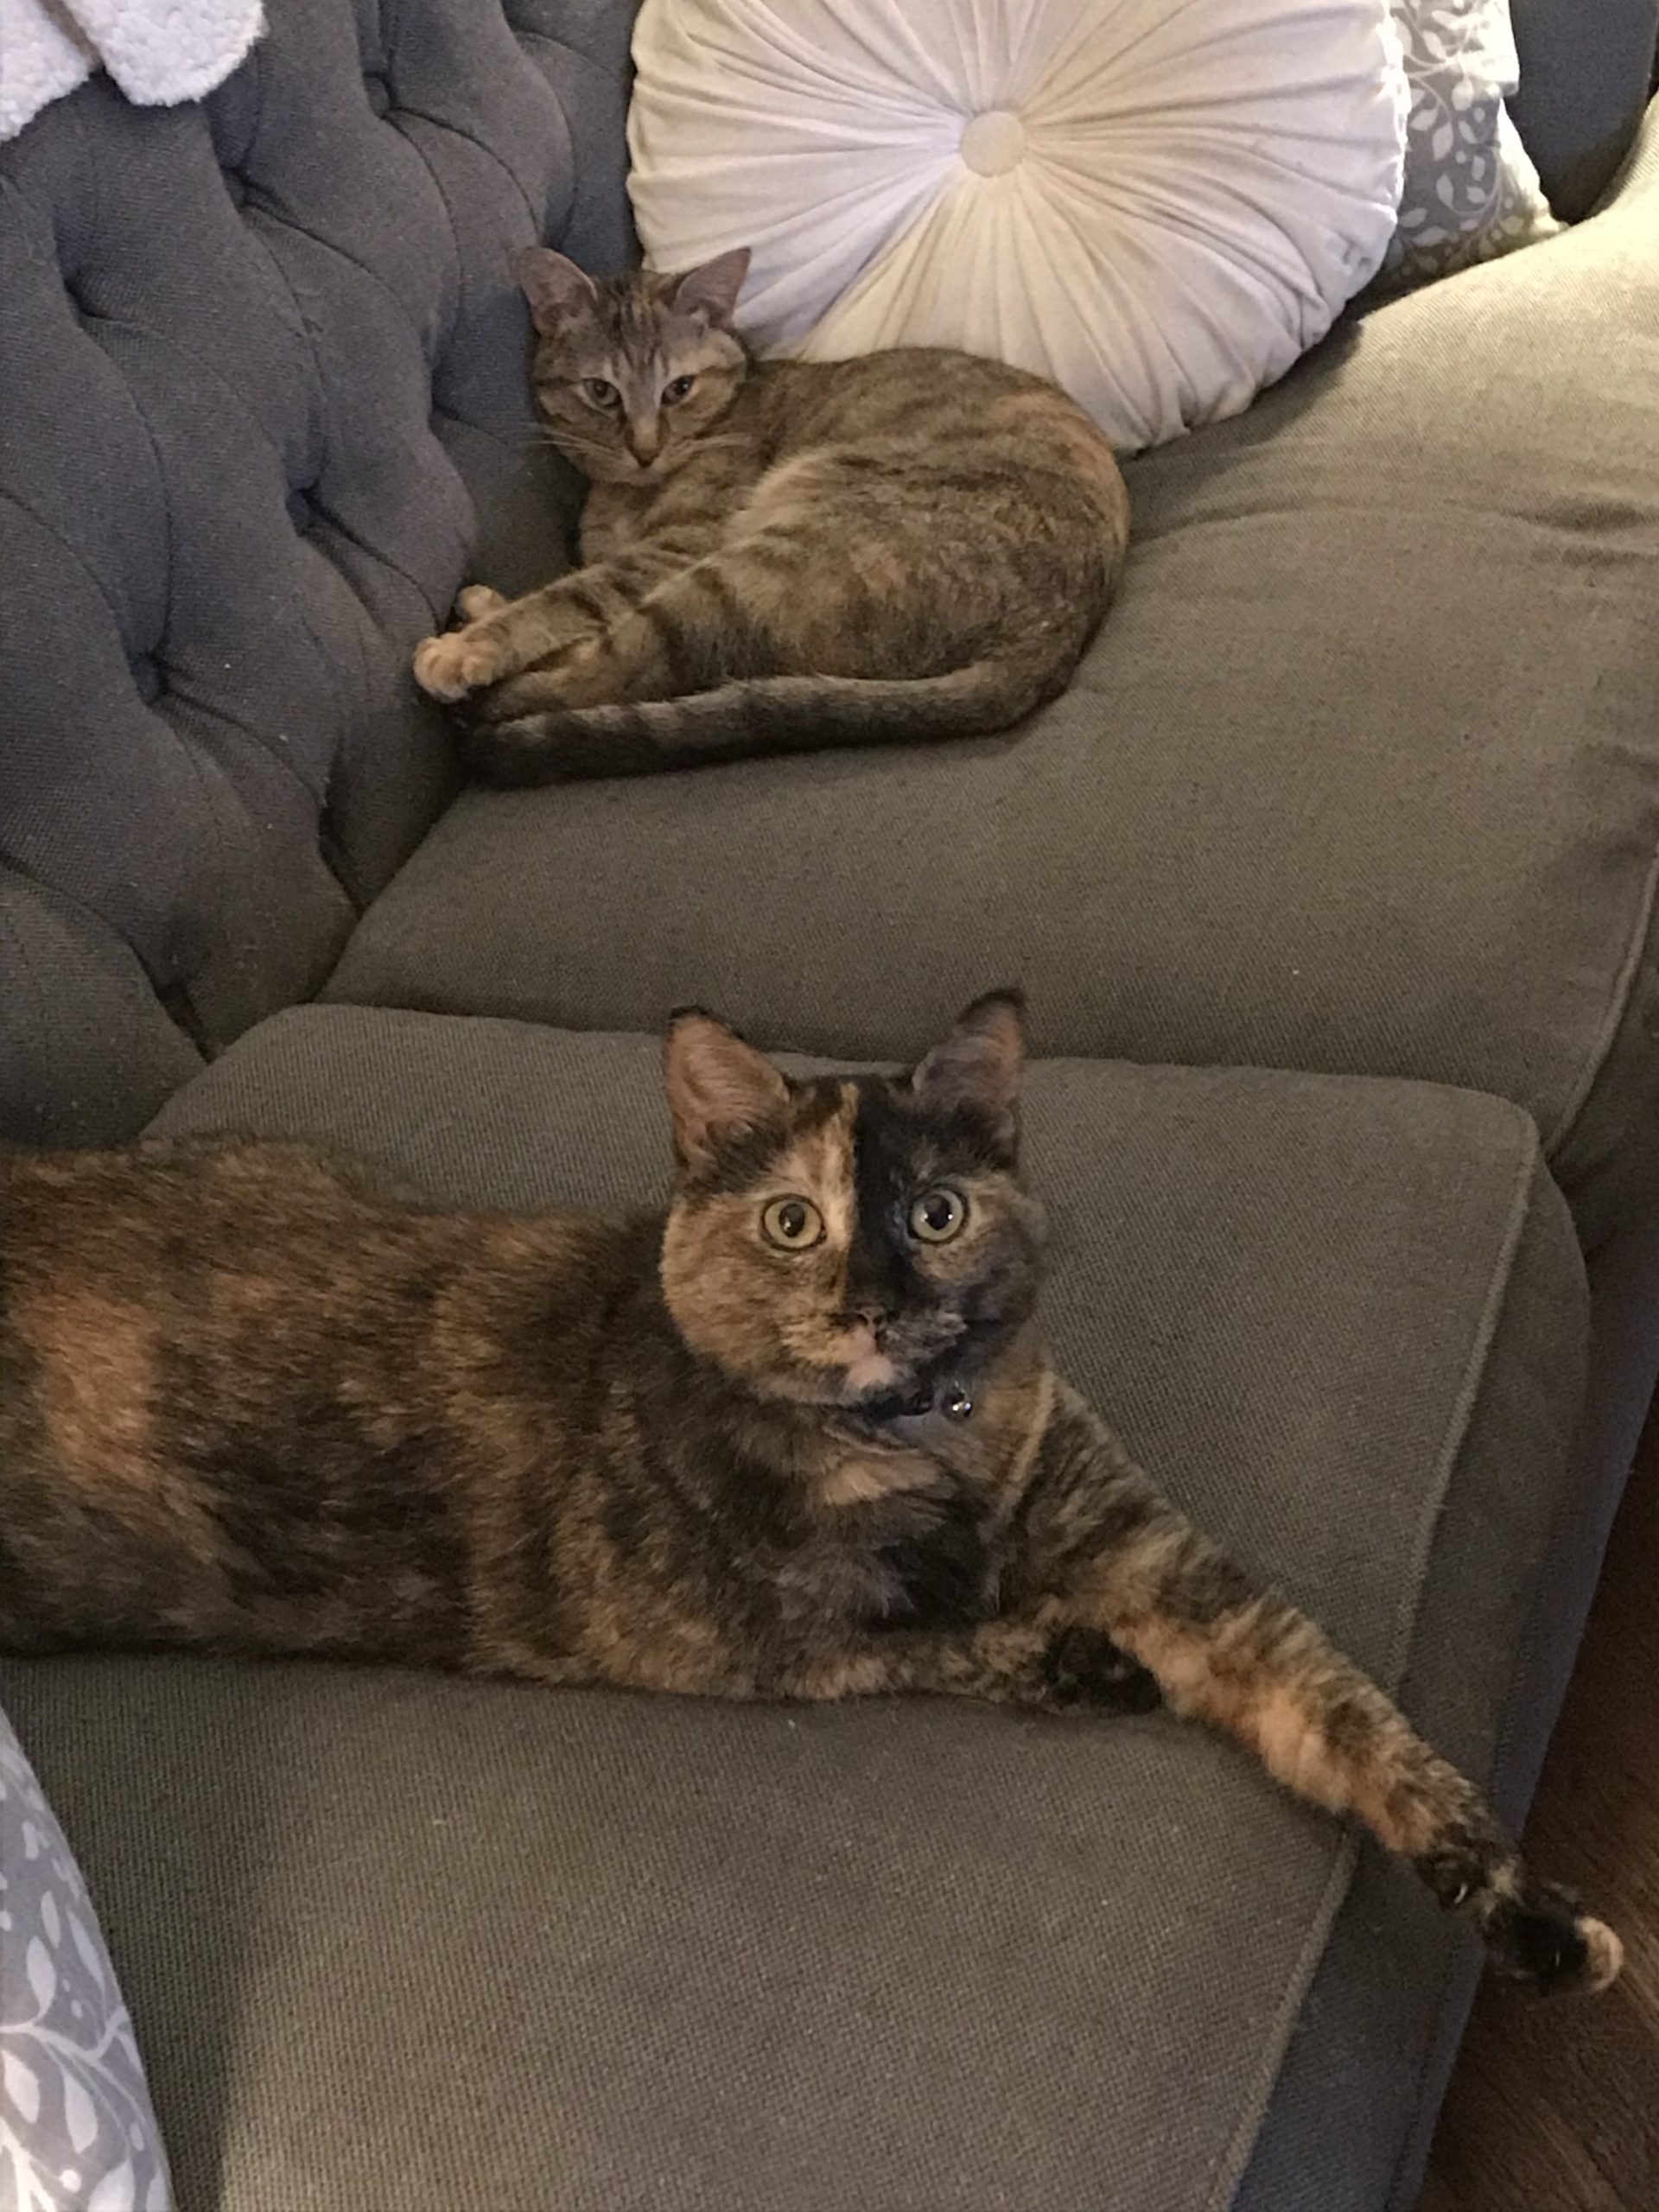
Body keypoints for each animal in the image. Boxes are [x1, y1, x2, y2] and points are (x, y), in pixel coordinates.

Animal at [0, 995, 1618, 1999]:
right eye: (793, 1223)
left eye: (936, 1213)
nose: (872, 1303)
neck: (935, 1453)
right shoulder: (749, 1646)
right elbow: (931, 1647)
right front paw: (1078, 1666)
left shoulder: (1164, 1565)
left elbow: (1352, 1724)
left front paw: (1532, 1919)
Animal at [411, 250, 1141, 783]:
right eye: (601, 392)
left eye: (679, 388)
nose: (646, 448)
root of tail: (1049, 640)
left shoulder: (678, 545)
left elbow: (570, 596)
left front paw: (473, 648)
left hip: (750, 564)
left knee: (612, 671)